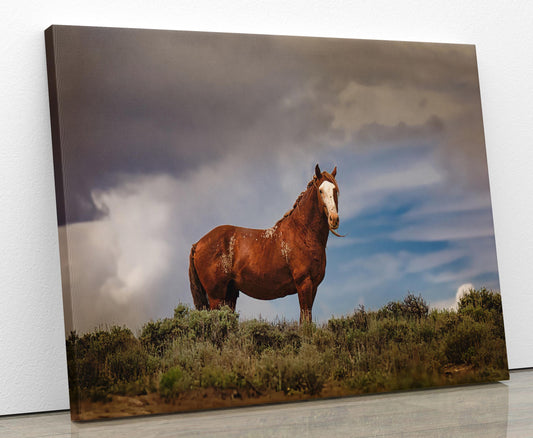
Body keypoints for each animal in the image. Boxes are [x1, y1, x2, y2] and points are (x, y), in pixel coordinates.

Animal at [189, 164, 342, 322]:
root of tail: (198, 244)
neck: (303, 233)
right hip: (216, 296)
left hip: (230, 294)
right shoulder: (304, 284)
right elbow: (305, 321)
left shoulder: (314, 287)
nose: (334, 219)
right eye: (320, 190)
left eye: (335, 190)